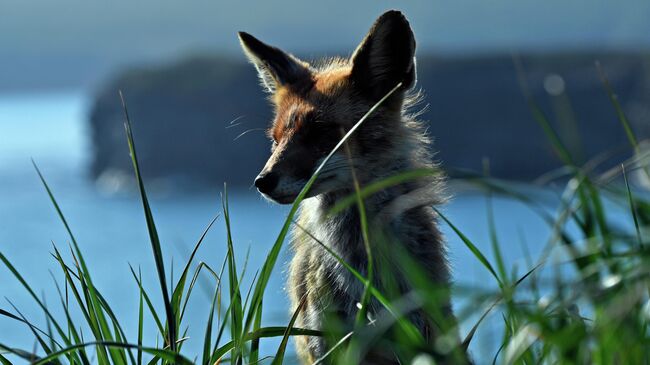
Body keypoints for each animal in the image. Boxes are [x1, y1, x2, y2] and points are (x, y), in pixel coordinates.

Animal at [238, 9, 466, 362]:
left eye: (320, 133)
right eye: (275, 140)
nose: (262, 182)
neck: (361, 274)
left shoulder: (418, 330)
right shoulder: (324, 340)